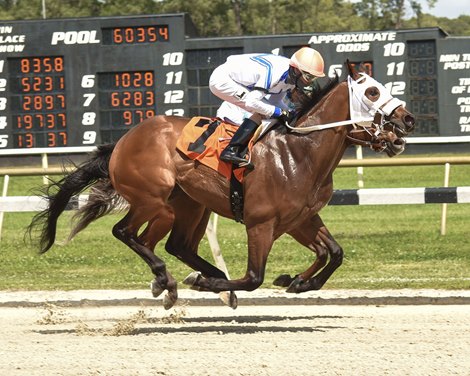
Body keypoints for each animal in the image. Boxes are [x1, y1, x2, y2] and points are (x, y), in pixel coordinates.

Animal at [30, 61, 414, 308]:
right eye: (373, 91)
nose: (407, 120)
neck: (298, 151)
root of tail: (123, 141)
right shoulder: (261, 223)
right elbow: (254, 276)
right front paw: (215, 283)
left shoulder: (301, 218)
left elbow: (333, 253)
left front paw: (297, 281)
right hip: (154, 201)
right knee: (127, 233)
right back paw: (177, 280)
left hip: (190, 204)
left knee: (173, 245)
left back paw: (184, 282)